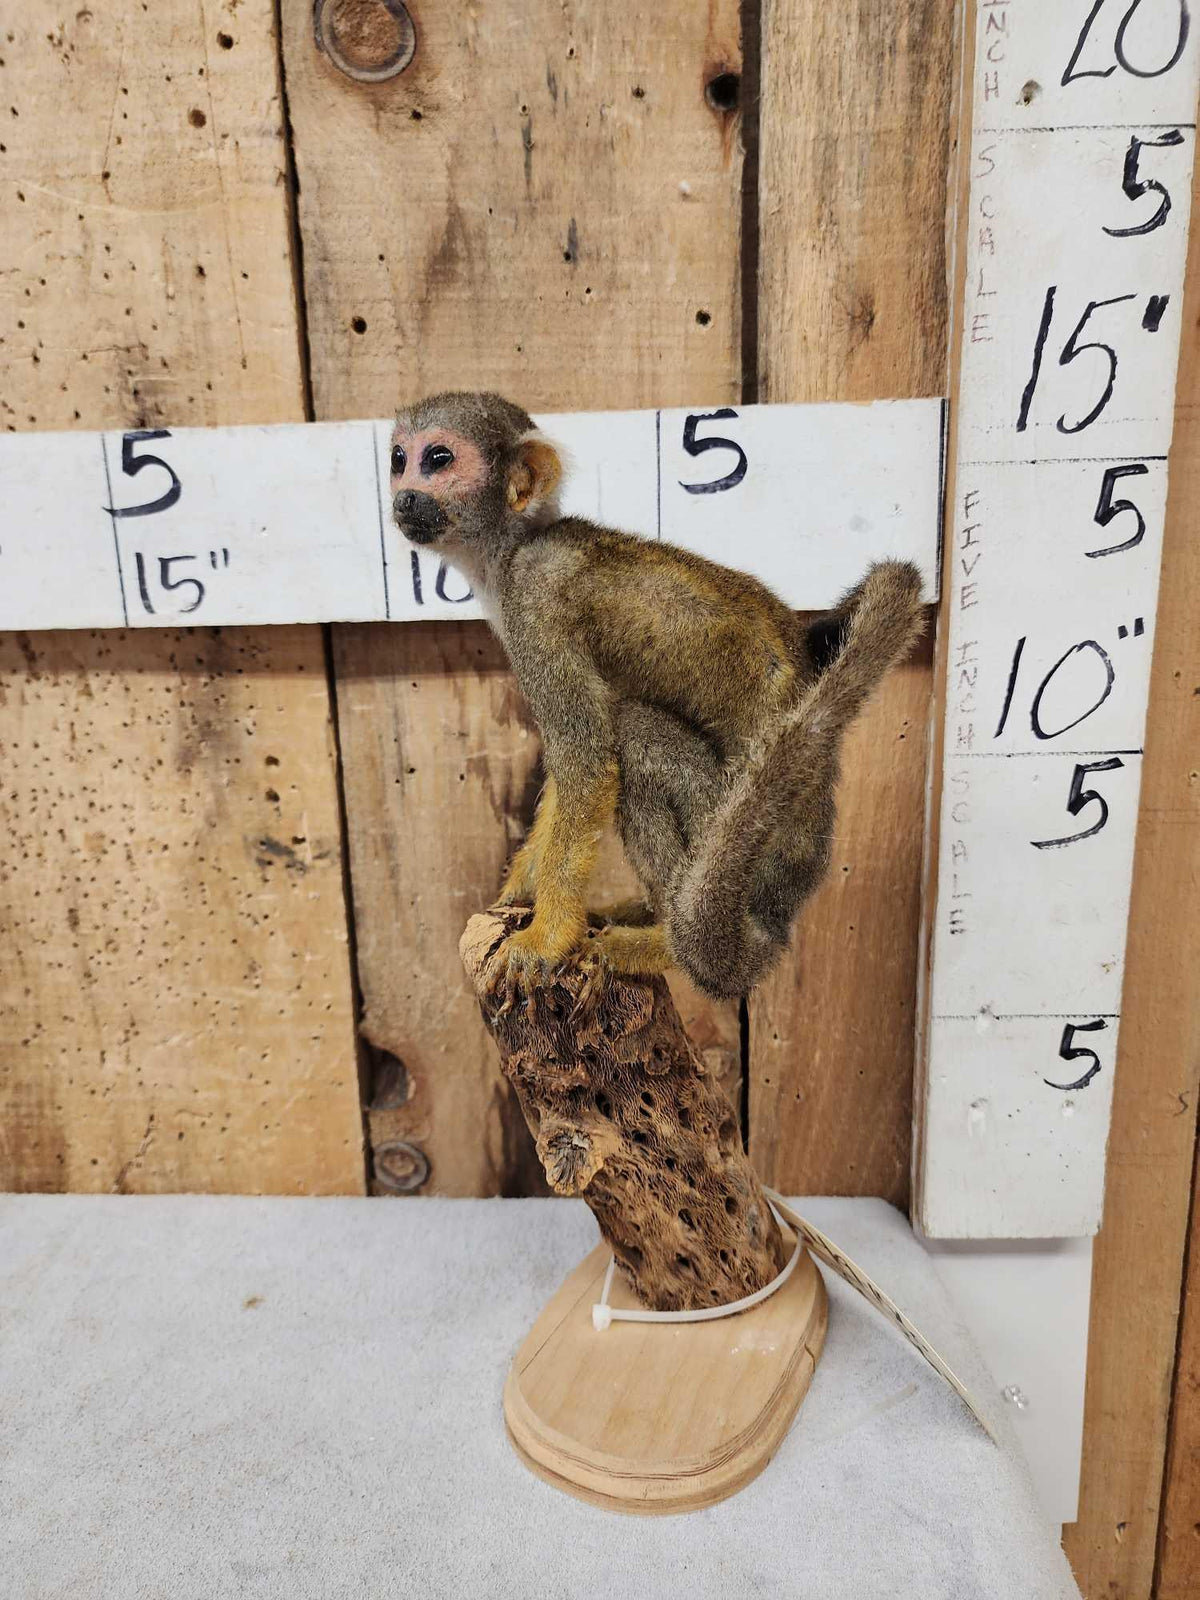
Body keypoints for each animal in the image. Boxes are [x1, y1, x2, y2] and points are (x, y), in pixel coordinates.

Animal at [389, 390, 924, 1006]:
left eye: (439, 459)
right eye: (399, 459)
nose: (404, 494)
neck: (513, 545)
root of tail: (778, 911)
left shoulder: (533, 594)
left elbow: (588, 761)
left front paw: (546, 937)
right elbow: (576, 768)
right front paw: (519, 895)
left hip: (733, 833)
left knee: (636, 735)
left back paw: (664, 942)